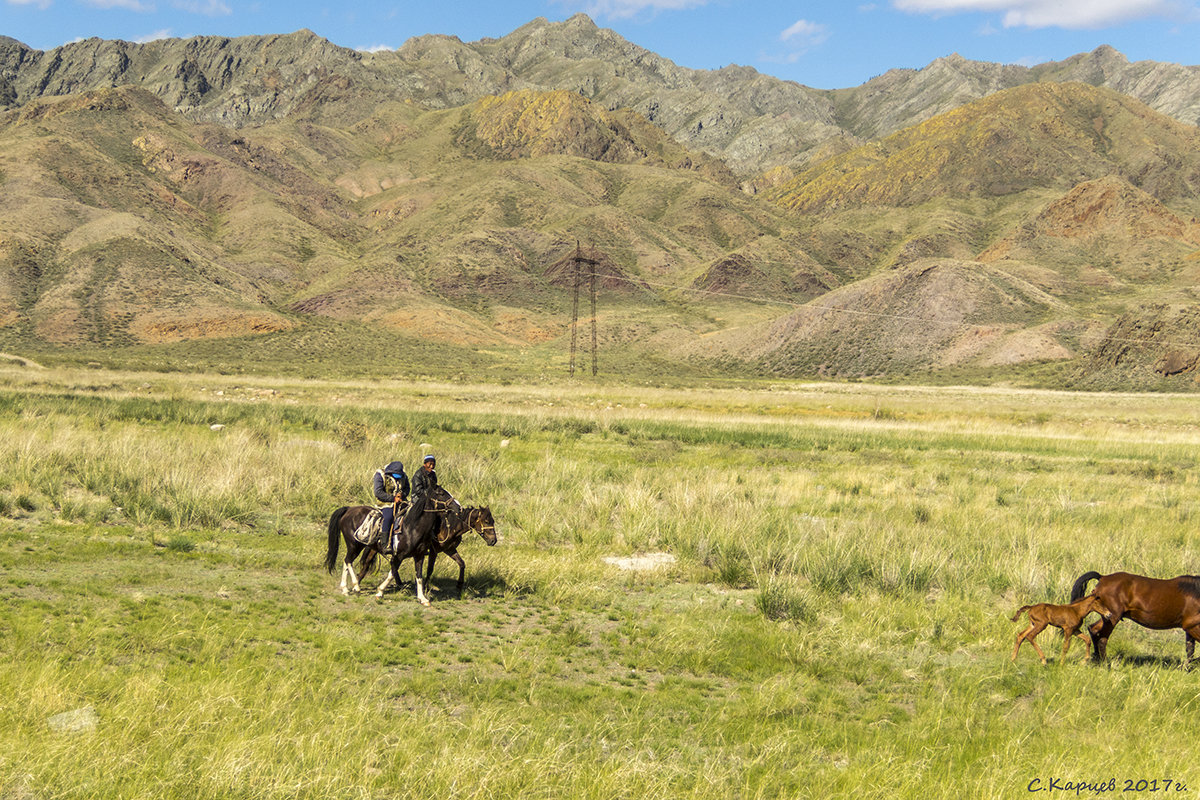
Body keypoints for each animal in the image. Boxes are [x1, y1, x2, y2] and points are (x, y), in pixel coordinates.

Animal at [324, 484, 458, 604]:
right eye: (441, 493)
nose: (458, 507)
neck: (412, 527)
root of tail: (348, 509)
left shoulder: (419, 556)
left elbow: (419, 576)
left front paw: (423, 598)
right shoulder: (398, 556)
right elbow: (392, 573)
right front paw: (379, 592)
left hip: (356, 546)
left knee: (347, 561)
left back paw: (345, 589)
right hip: (354, 545)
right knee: (348, 561)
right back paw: (355, 587)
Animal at [1070, 573, 1200, 666]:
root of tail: (1103, 578)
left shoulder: (1190, 629)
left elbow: (1190, 651)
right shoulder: (1192, 627)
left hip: (1107, 616)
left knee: (1093, 629)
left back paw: (1096, 658)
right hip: (1113, 617)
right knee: (1102, 638)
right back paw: (1105, 664)